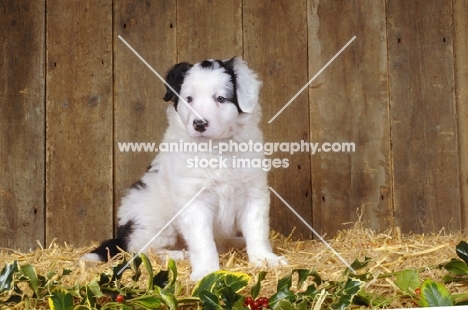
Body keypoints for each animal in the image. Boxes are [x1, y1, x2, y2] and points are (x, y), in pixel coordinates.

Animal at [82, 56, 288, 280]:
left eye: (221, 98)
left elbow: (257, 229)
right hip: (152, 218)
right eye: (189, 99)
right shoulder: (194, 200)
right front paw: (206, 271)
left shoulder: (253, 191)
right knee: (142, 250)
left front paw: (265, 259)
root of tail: (120, 234)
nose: (199, 124)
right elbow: (202, 241)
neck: (217, 149)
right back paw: (179, 254)